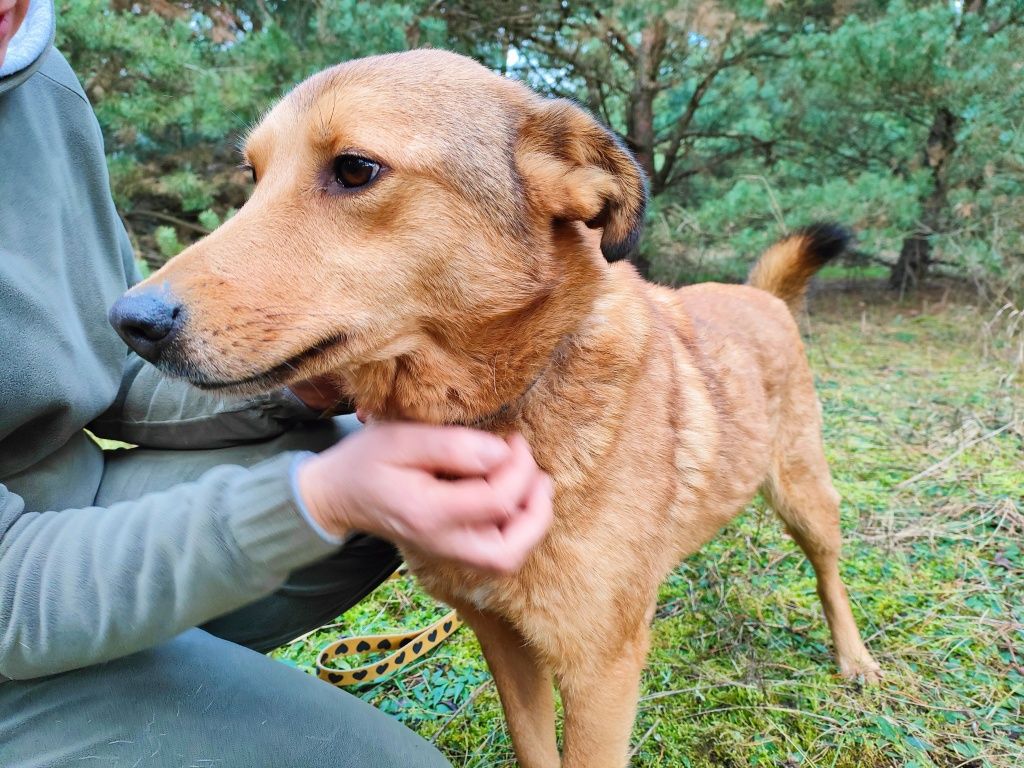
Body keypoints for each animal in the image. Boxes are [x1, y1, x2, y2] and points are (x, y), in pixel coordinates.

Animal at [110, 51, 880, 765]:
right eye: (253, 176)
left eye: (355, 170)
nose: (128, 320)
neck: (508, 403)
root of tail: (762, 296)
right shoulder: (501, 638)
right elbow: (534, 746)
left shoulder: (600, 674)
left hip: (806, 494)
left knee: (829, 573)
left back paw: (854, 658)